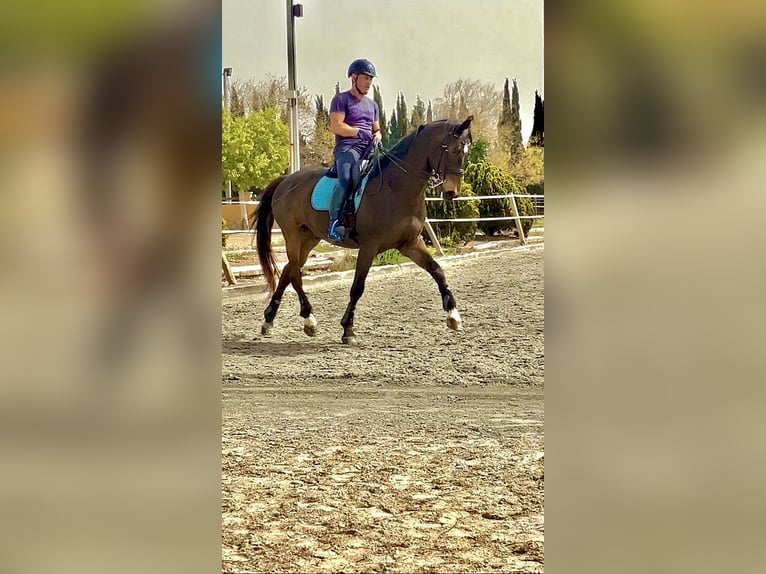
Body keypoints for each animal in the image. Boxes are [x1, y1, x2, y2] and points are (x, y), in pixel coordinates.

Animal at [254, 115, 474, 344]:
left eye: (467, 151)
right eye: (455, 150)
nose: (452, 192)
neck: (396, 188)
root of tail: (286, 181)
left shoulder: (410, 244)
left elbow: (437, 270)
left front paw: (453, 316)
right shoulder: (369, 247)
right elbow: (357, 287)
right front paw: (348, 329)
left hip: (309, 239)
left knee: (289, 271)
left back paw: (269, 320)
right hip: (293, 237)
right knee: (295, 273)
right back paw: (309, 320)